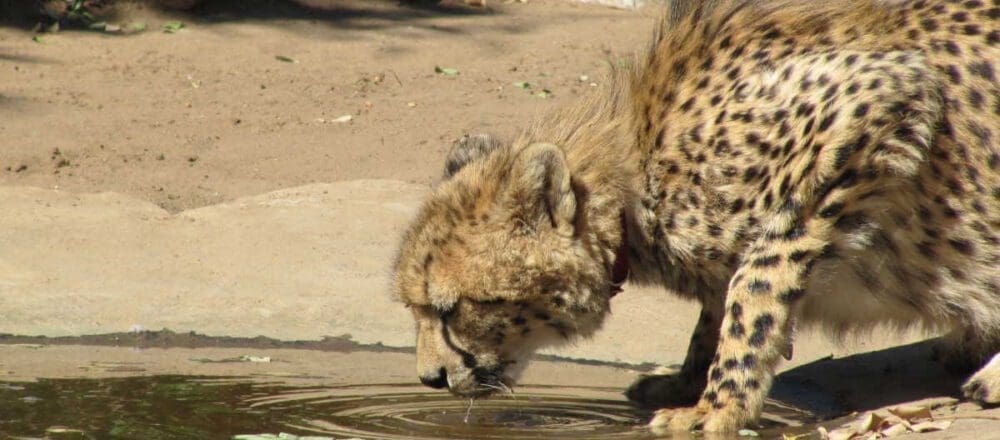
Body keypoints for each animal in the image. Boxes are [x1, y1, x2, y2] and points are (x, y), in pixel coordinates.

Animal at [390, 0, 1000, 434]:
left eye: (451, 309)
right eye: (417, 308)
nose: (429, 379)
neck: (632, 181)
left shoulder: (877, 98)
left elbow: (754, 282)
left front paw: (717, 407)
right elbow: (716, 306)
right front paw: (687, 382)